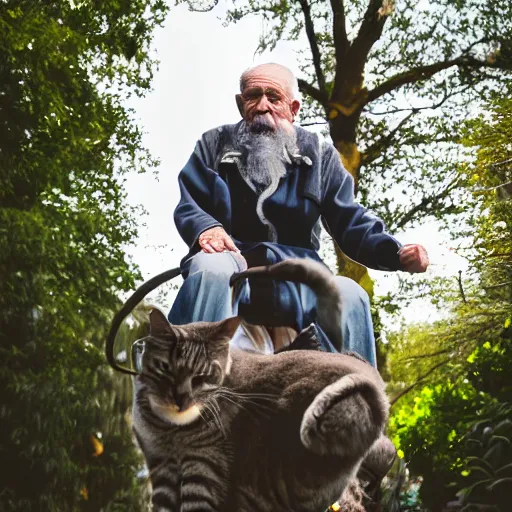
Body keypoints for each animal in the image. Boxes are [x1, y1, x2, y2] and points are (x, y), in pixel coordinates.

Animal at [131, 260, 388, 512]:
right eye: (165, 368)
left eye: (204, 376)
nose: (180, 398)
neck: (170, 431)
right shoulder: (162, 467)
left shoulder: (204, 466)